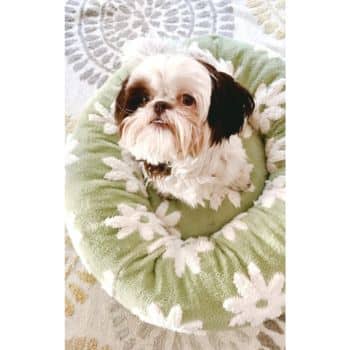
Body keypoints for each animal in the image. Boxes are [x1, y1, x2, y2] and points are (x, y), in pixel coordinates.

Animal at [115, 46, 254, 208]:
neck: (189, 161)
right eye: (144, 99)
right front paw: (166, 193)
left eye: (188, 100)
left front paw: (240, 180)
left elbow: (233, 171)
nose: (159, 104)